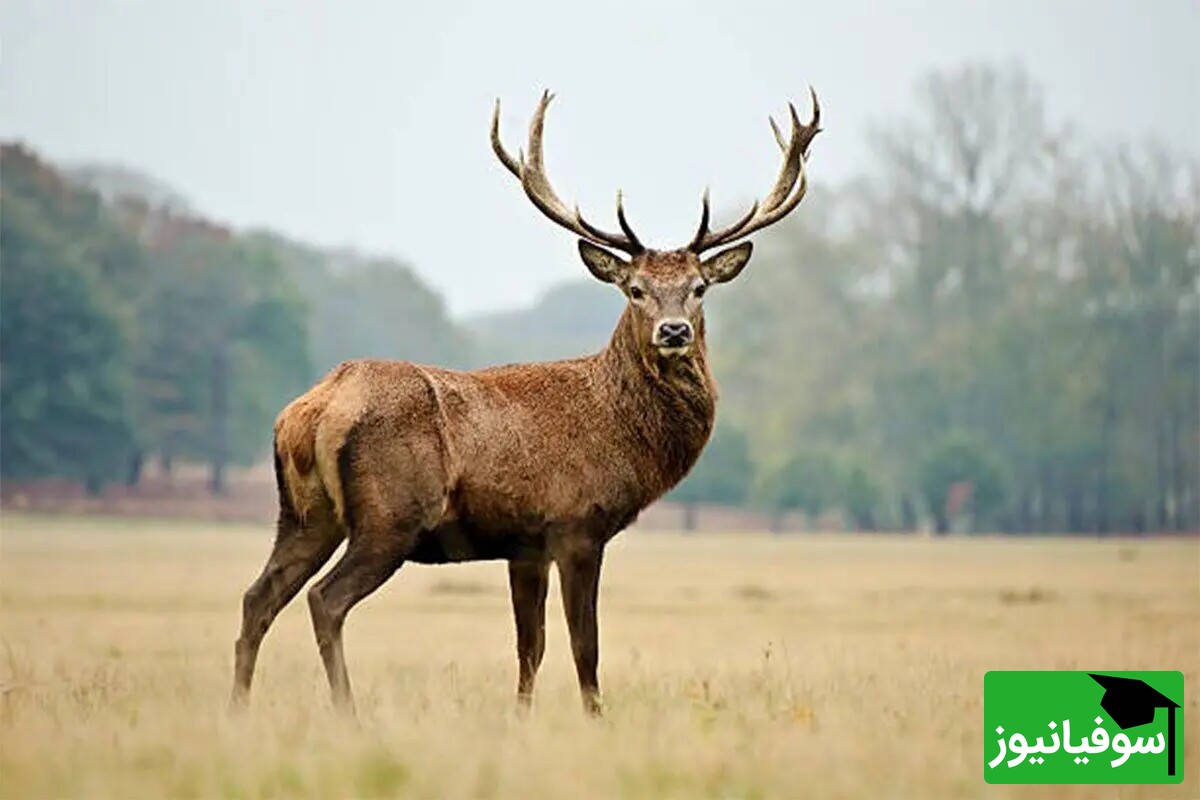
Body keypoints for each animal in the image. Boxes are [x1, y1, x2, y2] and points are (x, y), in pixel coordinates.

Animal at [229, 89, 820, 719]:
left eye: (699, 288)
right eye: (634, 289)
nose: (674, 331)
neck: (621, 432)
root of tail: (312, 410)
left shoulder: (525, 544)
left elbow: (529, 647)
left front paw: (520, 717)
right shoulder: (577, 524)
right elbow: (585, 645)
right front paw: (595, 718)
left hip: (305, 514)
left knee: (258, 597)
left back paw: (238, 709)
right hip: (390, 516)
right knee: (325, 599)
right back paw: (347, 713)